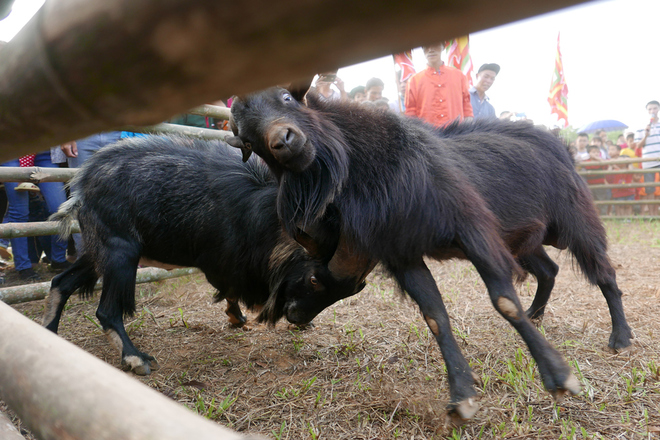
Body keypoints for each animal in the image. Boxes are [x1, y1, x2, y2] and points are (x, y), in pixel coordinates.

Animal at [45, 137, 366, 374]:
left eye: (348, 293)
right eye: (313, 279)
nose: (299, 318)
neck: (260, 207)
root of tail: (81, 187)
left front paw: (237, 317)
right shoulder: (222, 262)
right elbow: (231, 287)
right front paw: (240, 315)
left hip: (98, 251)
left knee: (61, 283)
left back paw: (49, 335)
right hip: (121, 252)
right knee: (107, 310)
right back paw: (136, 358)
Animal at [227, 87, 636, 422]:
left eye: (287, 97)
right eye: (244, 136)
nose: (294, 315)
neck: (371, 171)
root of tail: (561, 147)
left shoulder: (472, 230)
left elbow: (504, 301)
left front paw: (559, 375)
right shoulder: (403, 254)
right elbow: (435, 316)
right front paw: (462, 396)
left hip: (574, 224)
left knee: (605, 274)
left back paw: (620, 336)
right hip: (524, 239)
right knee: (549, 270)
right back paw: (537, 313)